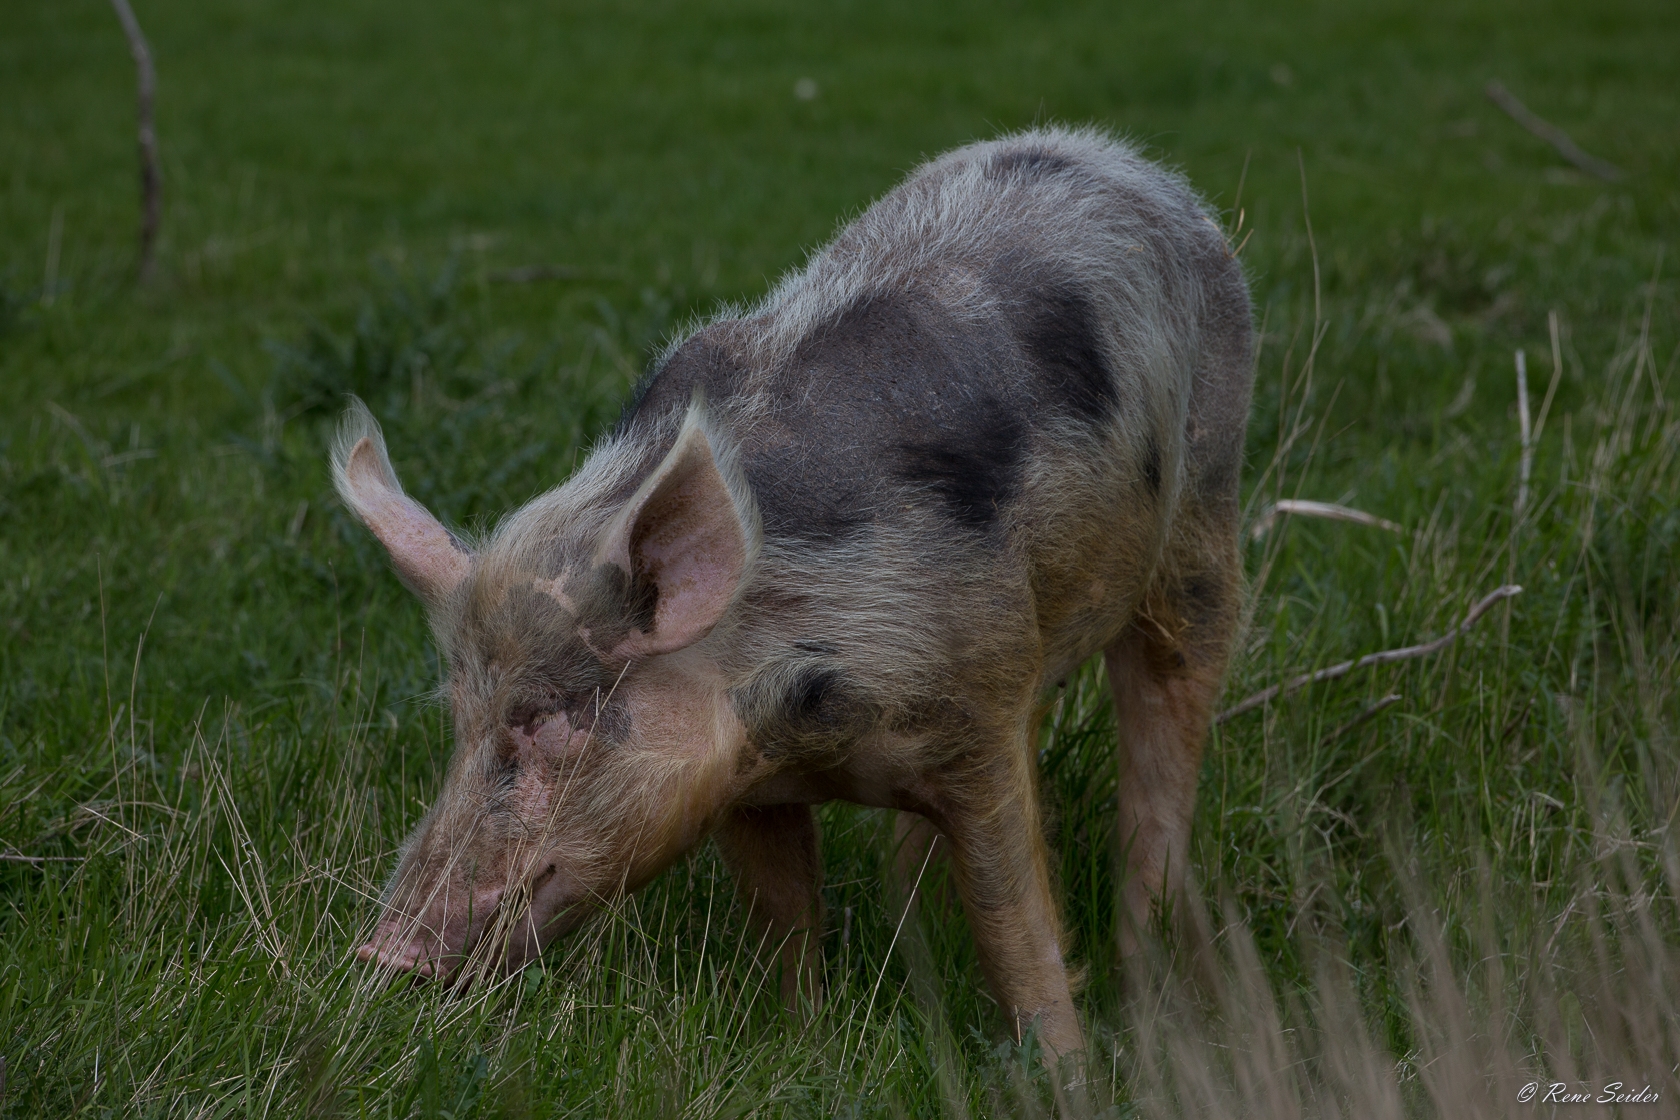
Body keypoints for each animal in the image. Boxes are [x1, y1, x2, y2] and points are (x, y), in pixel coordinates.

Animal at [336, 126, 1252, 1060]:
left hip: (1206, 510)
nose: (382, 954)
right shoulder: (741, 780)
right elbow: (783, 916)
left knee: (1166, 739)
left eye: (548, 721)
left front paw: (1064, 1066)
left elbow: (1014, 920)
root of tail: (1115, 158)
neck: (806, 728)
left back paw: (1151, 990)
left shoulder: (978, 713)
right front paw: (801, 1039)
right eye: (460, 717)